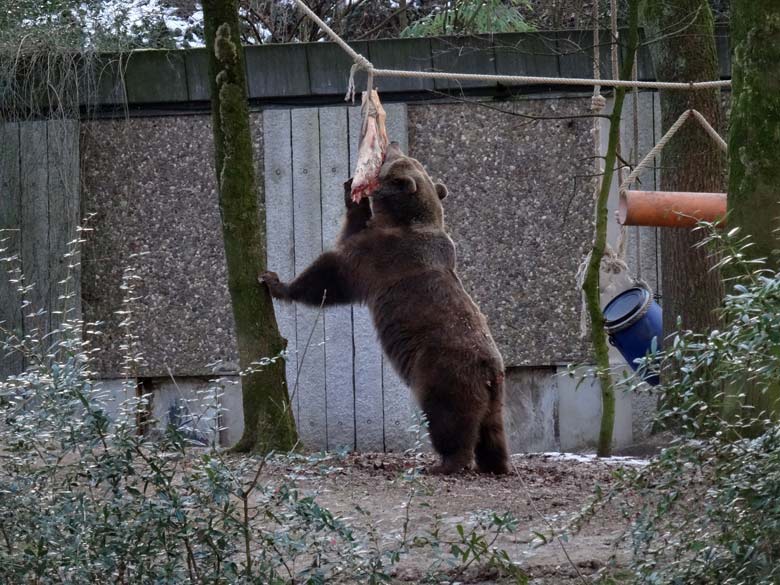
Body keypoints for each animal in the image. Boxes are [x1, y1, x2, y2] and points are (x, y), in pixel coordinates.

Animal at [262, 141, 512, 474]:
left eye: (395, 158)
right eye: (404, 155)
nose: (392, 143)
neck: (405, 219)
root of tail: (489, 369)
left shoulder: (383, 257)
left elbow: (332, 272)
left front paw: (275, 281)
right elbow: (351, 232)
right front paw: (351, 194)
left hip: (443, 371)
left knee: (448, 419)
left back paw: (446, 463)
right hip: (494, 392)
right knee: (492, 429)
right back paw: (496, 463)